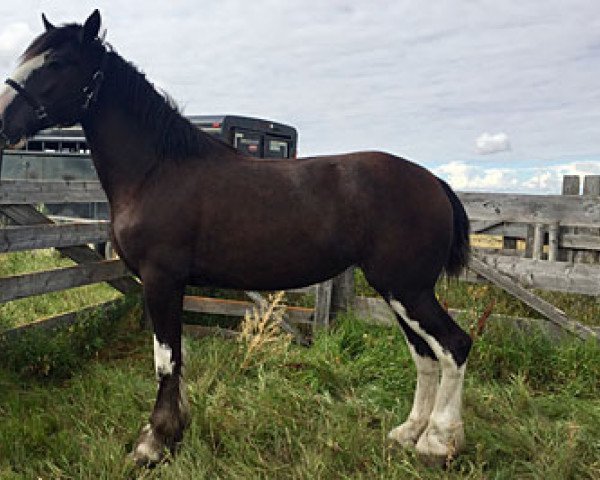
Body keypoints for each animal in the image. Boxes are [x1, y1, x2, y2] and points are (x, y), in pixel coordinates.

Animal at [0, 11, 474, 466]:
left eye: (57, 62)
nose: (3, 123)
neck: (158, 169)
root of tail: (434, 182)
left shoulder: (161, 279)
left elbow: (165, 361)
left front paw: (154, 444)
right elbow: (178, 357)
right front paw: (175, 430)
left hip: (407, 289)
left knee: (454, 346)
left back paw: (437, 444)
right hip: (398, 291)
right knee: (425, 354)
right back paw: (408, 434)